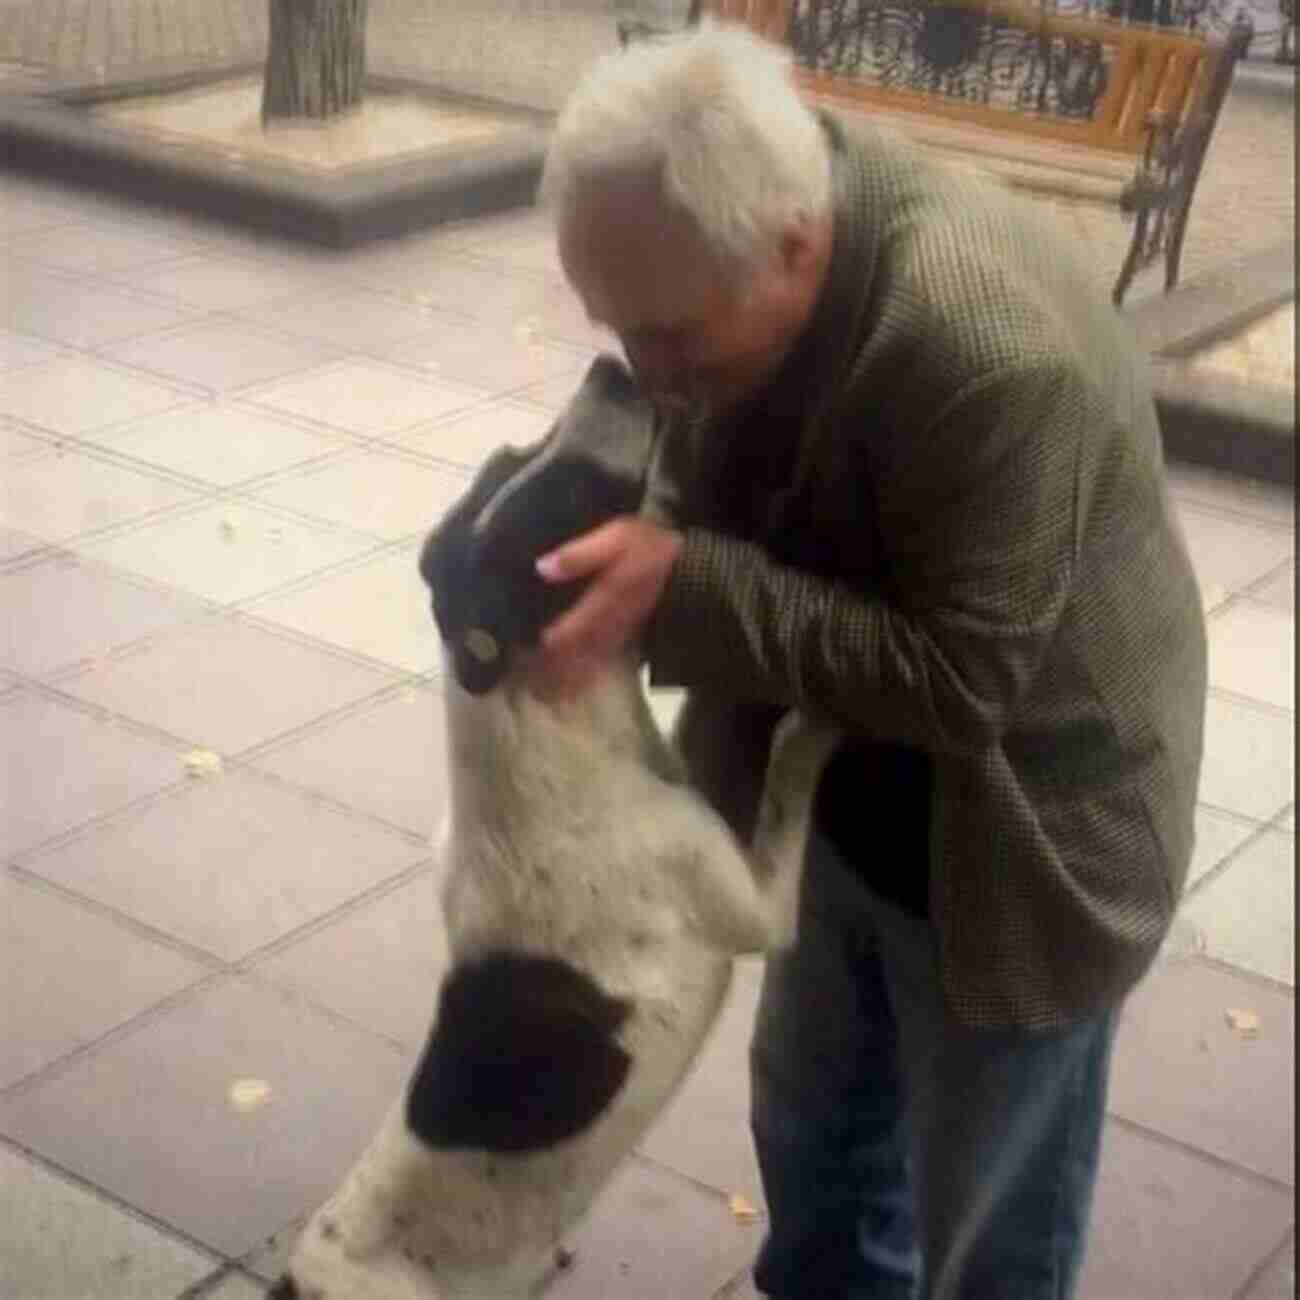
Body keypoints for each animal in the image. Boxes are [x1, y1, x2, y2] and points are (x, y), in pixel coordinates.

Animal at [267, 356, 832, 1300]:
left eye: (513, 456)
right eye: (567, 495)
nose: (611, 365)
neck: (545, 713)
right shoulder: (752, 904)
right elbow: (791, 776)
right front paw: (817, 725)